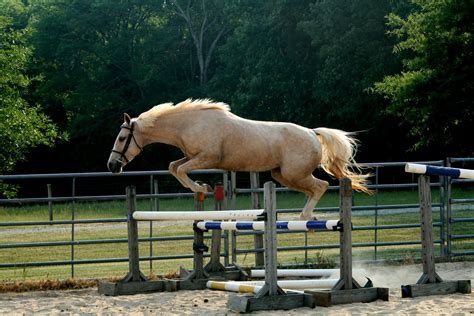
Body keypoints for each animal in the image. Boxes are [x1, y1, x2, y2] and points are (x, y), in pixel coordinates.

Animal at [107, 99, 370, 220]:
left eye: (122, 138)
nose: (112, 166)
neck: (188, 124)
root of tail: (312, 133)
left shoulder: (207, 158)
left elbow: (180, 170)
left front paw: (201, 187)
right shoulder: (192, 157)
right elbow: (174, 167)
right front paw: (200, 187)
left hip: (295, 174)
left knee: (321, 186)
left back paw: (305, 217)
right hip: (283, 175)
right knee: (313, 189)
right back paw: (310, 216)